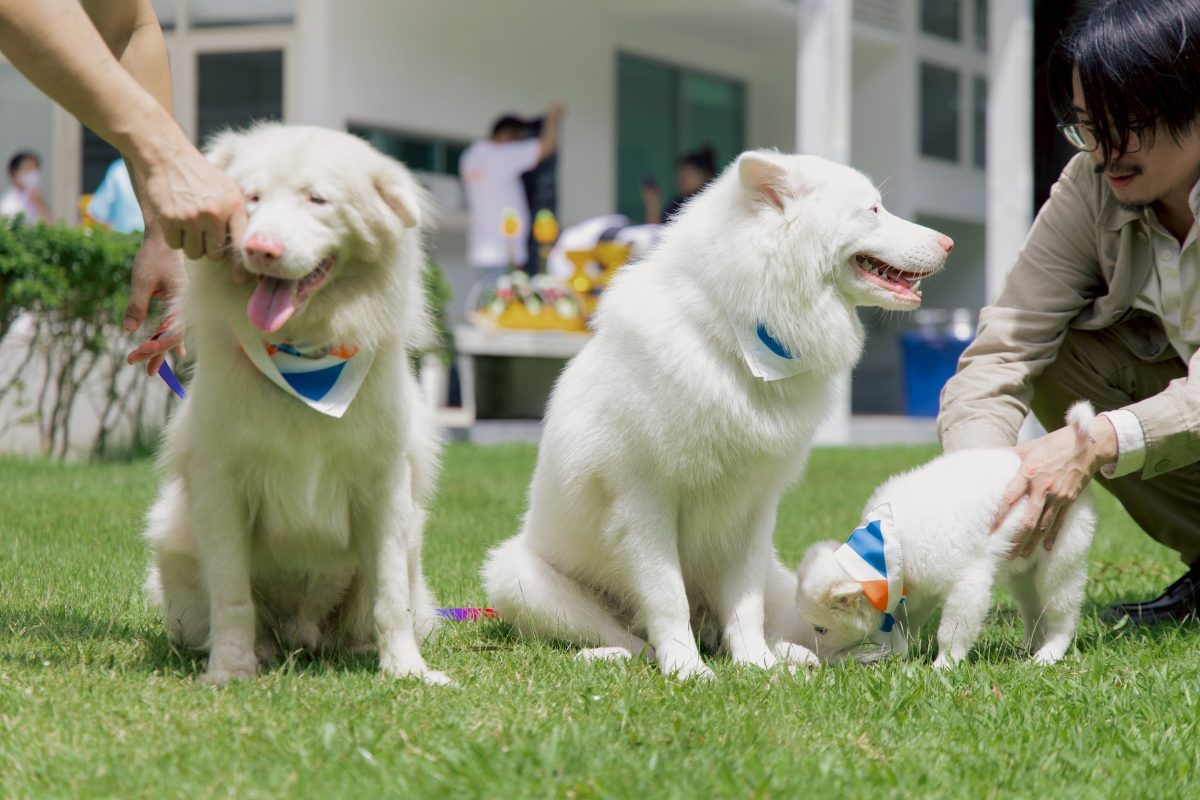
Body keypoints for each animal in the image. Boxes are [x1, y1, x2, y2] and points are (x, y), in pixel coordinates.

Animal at [142, 124, 450, 685]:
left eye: (317, 199)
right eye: (251, 199)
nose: (260, 248)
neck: (303, 358)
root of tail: (301, 633)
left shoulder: (384, 487)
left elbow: (390, 598)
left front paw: (407, 671)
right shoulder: (222, 486)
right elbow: (232, 598)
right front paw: (229, 671)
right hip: (174, 545)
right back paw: (262, 652)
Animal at [482, 151, 953, 679]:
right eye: (873, 210)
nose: (949, 243)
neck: (732, 333)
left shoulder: (752, 510)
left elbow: (744, 605)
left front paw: (757, 666)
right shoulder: (645, 504)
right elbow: (667, 598)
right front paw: (688, 672)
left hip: (777, 576)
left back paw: (790, 654)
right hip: (516, 577)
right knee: (631, 638)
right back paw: (620, 656)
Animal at [795, 402, 1099, 668]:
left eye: (821, 629)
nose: (819, 660)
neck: (888, 545)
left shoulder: (967, 583)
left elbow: (951, 630)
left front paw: (943, 665)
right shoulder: (917, 589)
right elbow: (906, 622)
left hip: (1058, 561)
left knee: (1062, 615)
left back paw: (1048, 654)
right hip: (1023, 568)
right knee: (1033, 610)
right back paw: (1028, 647)